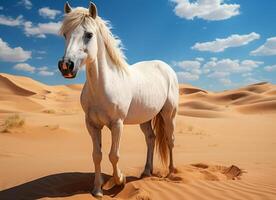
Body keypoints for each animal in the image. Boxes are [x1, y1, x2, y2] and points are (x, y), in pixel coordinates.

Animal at [58, 1, 179, 198]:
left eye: (89, 34)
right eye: (65, 34)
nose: (66, 66)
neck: (103, 86)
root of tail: (166, 67)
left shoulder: (117, 124)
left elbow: (113, 155)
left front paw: (120, 180)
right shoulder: (92, 125)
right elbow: (97, 155)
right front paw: (97, 189)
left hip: (169, 114)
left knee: (170, 139)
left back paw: (171, 172)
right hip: (145, 118)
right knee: (151, 139)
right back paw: (146, 171)